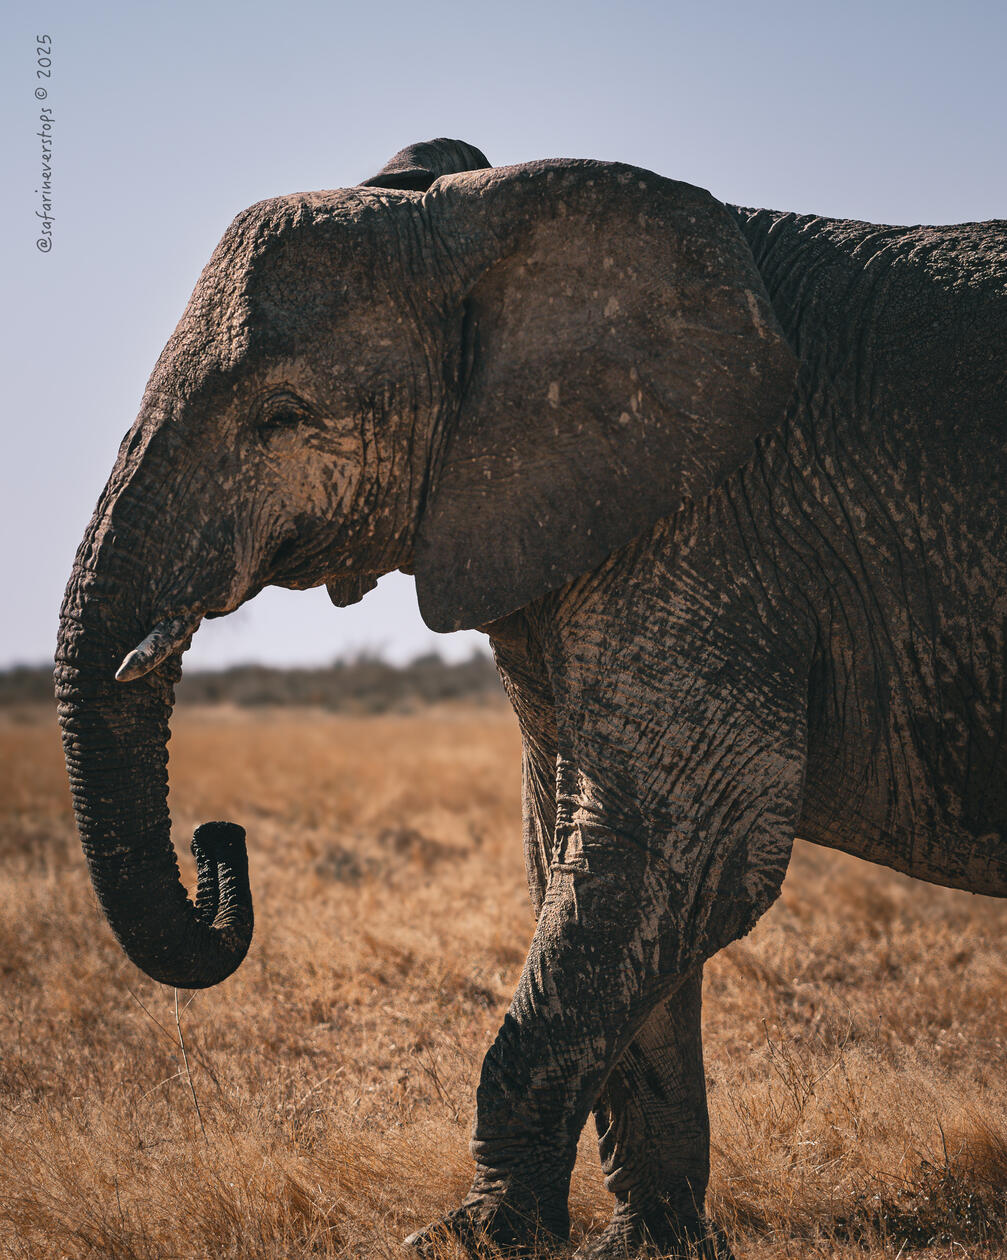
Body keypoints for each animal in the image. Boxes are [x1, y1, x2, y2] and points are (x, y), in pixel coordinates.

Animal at [57, 136, 1006, 1258]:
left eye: (280, 417)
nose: (218, 836)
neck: (484, 223)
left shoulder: (711, 530)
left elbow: (674, 844)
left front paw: (473, 1240)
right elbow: (575, 856)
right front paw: (644, 1248)